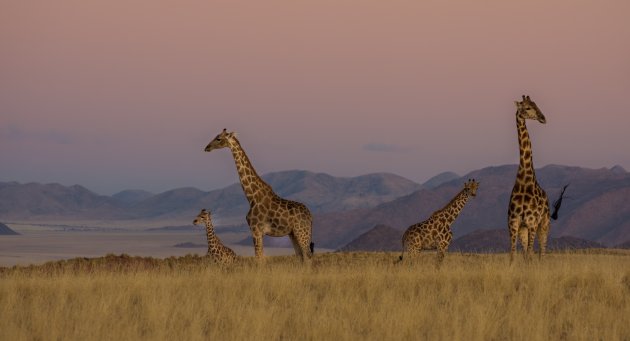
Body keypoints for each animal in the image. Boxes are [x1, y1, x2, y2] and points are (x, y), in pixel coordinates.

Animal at [205, 129, 314, 262]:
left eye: (219, 138)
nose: (207, 147)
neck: (251, 196)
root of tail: (310, 216)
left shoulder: (256, 230)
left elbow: (259, 258)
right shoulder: (258, 232)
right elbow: (261, 257)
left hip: (302, 232)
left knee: (308, 257)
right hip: (293, 234)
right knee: (301, 256)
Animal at [508, 94, 552, 262]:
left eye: (536, 104)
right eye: (527, 107)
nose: (543, 117)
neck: (524, 181)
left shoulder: (532, 223)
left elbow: (528, 256)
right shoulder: (514, 224)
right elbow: (513, 255)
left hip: (544, 224)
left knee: (542, 252)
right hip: (524, 229)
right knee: (533, 253)